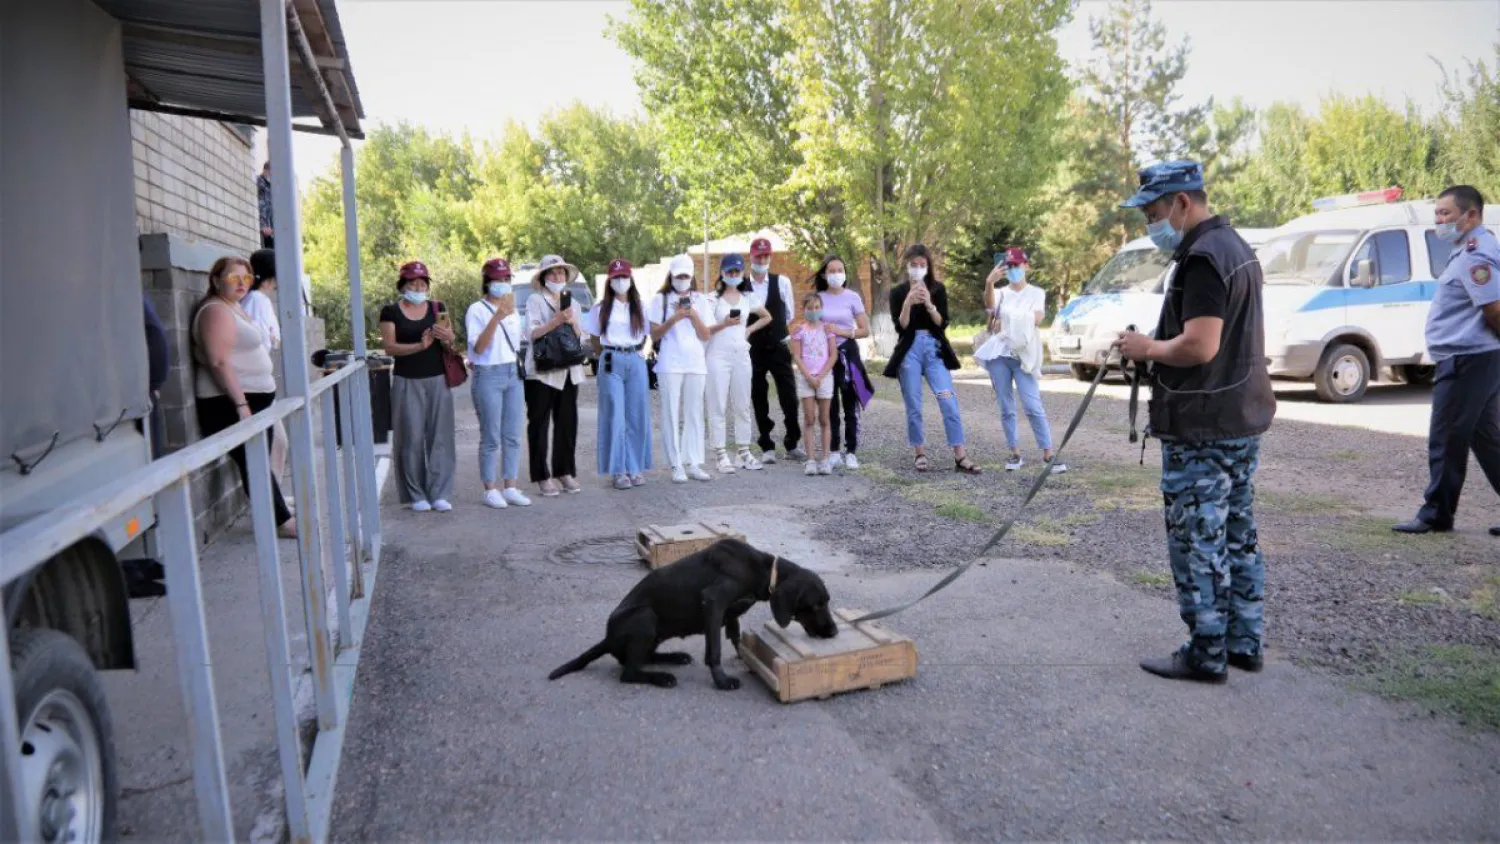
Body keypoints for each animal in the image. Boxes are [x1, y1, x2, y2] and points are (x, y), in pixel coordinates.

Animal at [546, 539, 840, 689]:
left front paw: (746, 659)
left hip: (653, 632)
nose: (834, 631)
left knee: (642, 658)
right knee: (628, 672)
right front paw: (721, 681)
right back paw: (661, 677)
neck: (762, 570)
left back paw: (674, 657)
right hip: (645, 617)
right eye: (816, 605)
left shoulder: (729, 613)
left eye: (827, 601)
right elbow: (715, 650)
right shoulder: (714, 602)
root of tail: (607, 638)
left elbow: (734, 638)